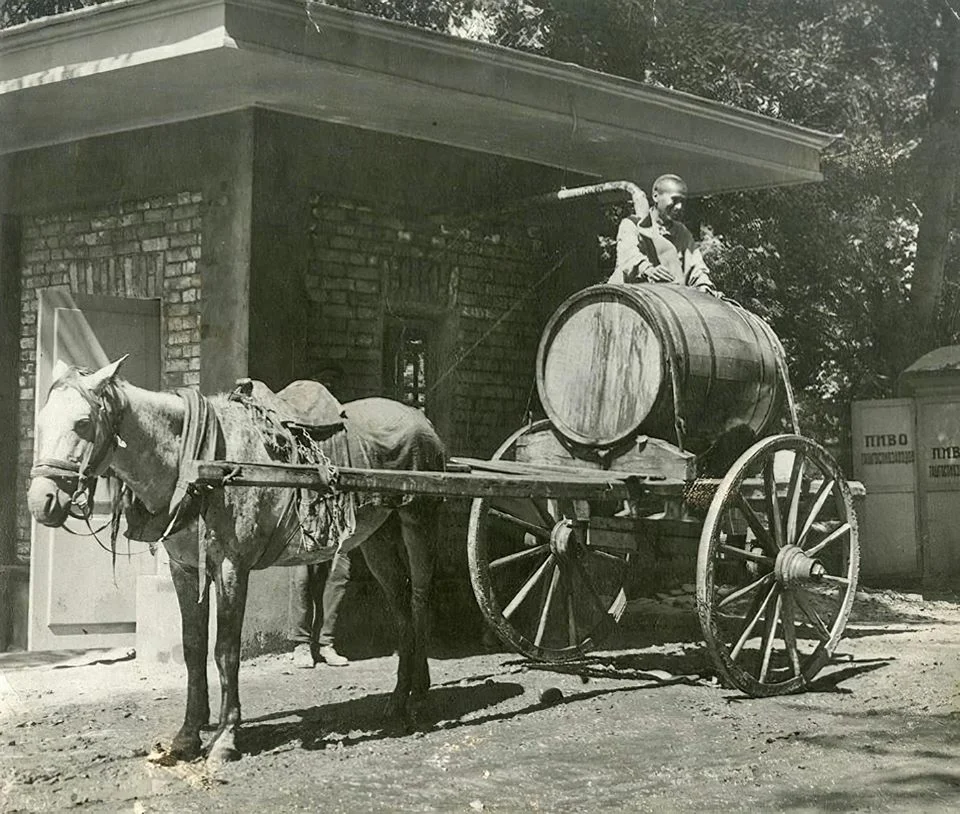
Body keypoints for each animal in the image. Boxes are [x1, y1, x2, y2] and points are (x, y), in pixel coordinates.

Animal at [27, 356, 446, 764]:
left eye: (83, 423)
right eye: (41, 421)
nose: (40, 501)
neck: (198, 465)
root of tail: (421, 418)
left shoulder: (231, 567)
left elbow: (226, 651)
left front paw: (226, 739)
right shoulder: (185, 570)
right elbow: (193, 648)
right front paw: (187, 737)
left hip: (419, 520)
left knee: (421, 600)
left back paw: (420, 698)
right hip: (378, 537)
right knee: (402, 610)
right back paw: (399, 700)